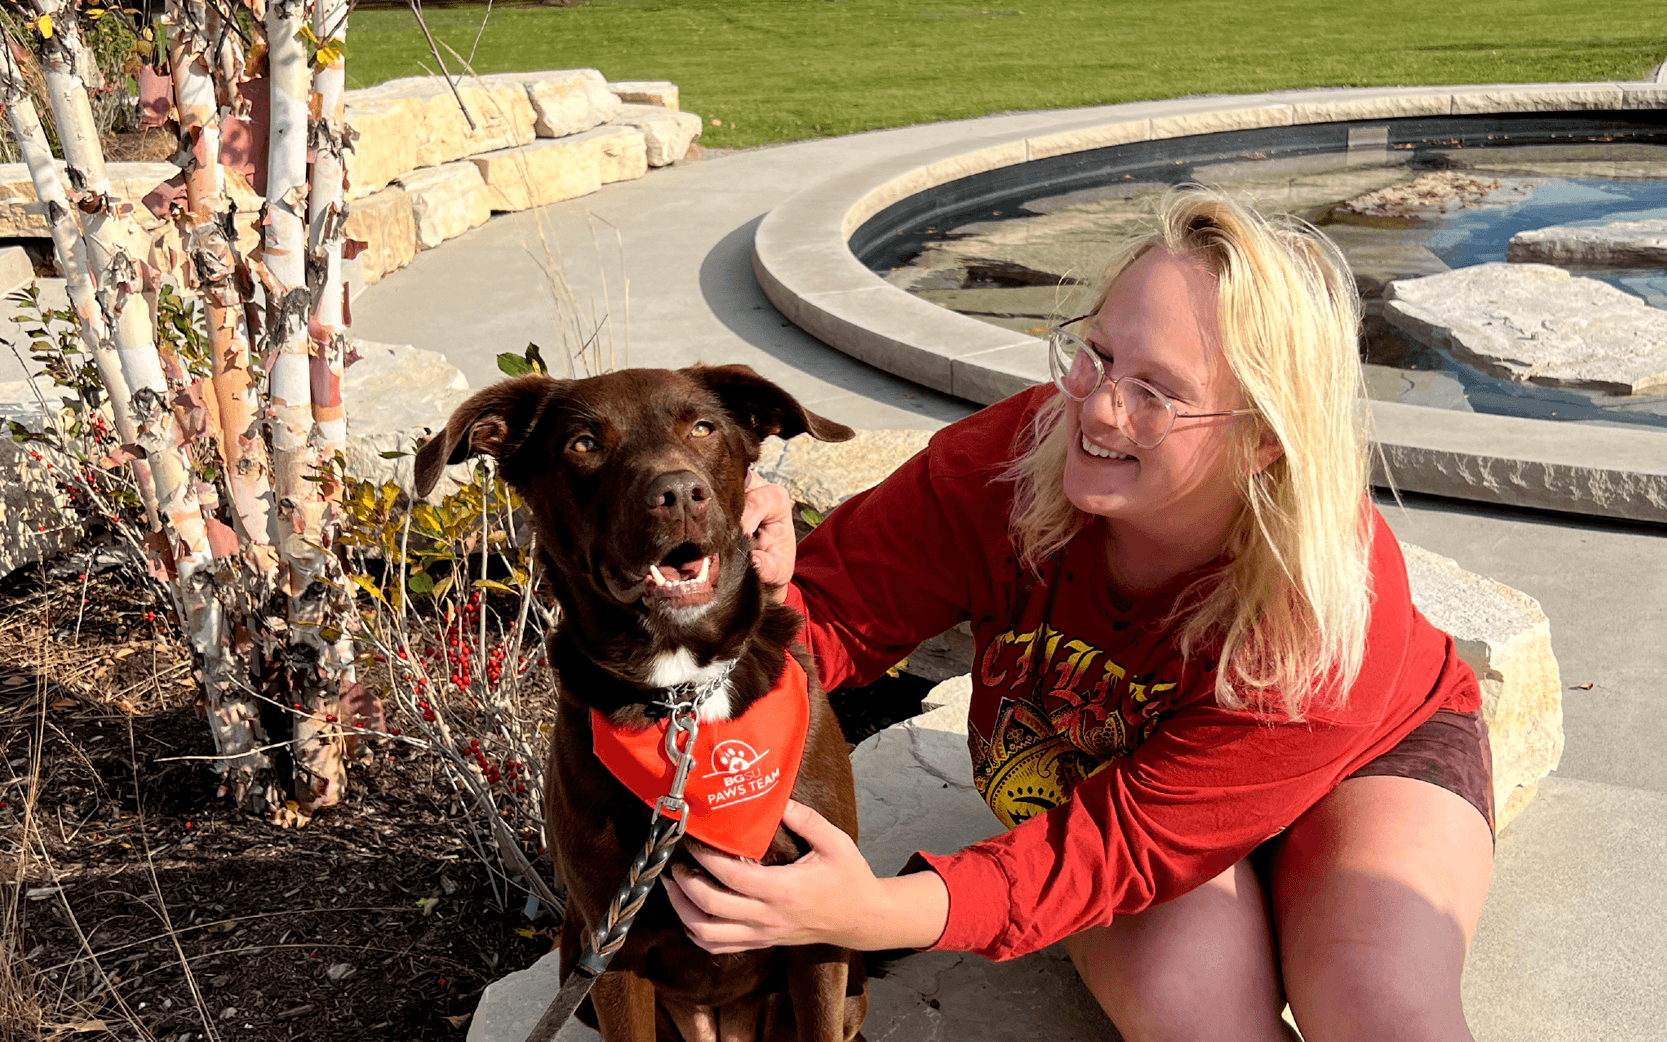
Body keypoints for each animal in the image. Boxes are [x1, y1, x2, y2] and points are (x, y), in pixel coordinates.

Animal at [413, 365, 873, 1040]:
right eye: (583, 444)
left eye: (703, 428)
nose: (679, 493)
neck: (683, 689)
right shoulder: (612, 946)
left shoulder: (817, 912)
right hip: (575, 956)